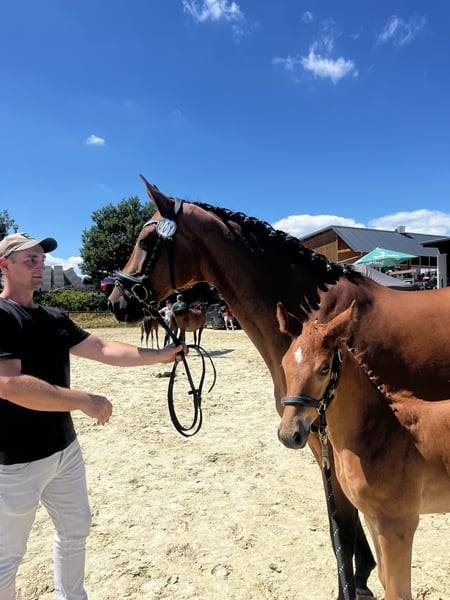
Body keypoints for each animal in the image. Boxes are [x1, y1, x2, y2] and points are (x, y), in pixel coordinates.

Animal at [277, 301, 450, 600]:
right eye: (284, 364)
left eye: (324, 369)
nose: (290, 434)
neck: (383, 434)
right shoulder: (372, 519)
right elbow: (383, 579)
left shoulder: (399, 526)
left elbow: (397, 592)